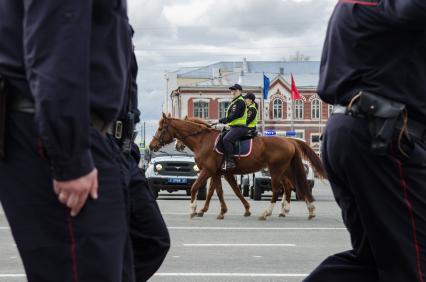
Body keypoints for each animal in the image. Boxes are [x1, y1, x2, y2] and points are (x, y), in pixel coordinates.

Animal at [148, 113, 322, 219]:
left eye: (160, 128)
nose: (151, 145)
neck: (204, 140)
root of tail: (289, 141)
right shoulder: (219, 172)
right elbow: (221, 191)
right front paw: (220, 211)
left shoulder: (208, 170)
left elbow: (196, 187)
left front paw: (193, 209)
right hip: (286, 170)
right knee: (294, 186)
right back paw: (304, 210)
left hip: (276, 171)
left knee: (279, 189)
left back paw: (268, 213)